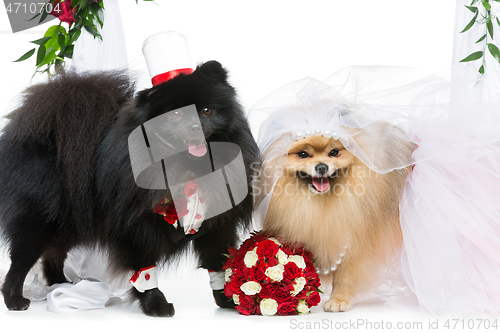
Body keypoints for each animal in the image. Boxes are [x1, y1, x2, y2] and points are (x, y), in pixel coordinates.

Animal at [0, 60, 258, 316]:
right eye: (175, 115)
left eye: (206, 110)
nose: (195, 126)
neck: (187, 167)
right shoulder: (136, 227)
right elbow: (145, 270)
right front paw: (156, 304)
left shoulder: (217, 225)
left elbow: (218, 263)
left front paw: (227, 299)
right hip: (38, 222)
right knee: (21, 261)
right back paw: (15, 299)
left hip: (68, 222)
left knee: (53, 255)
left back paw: (60, 284)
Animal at [258, 126, 414, 312]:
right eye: (303, 154)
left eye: (333, 152)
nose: (321, 167)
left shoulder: (353, 240)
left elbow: (344, 275)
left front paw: (338, 300)